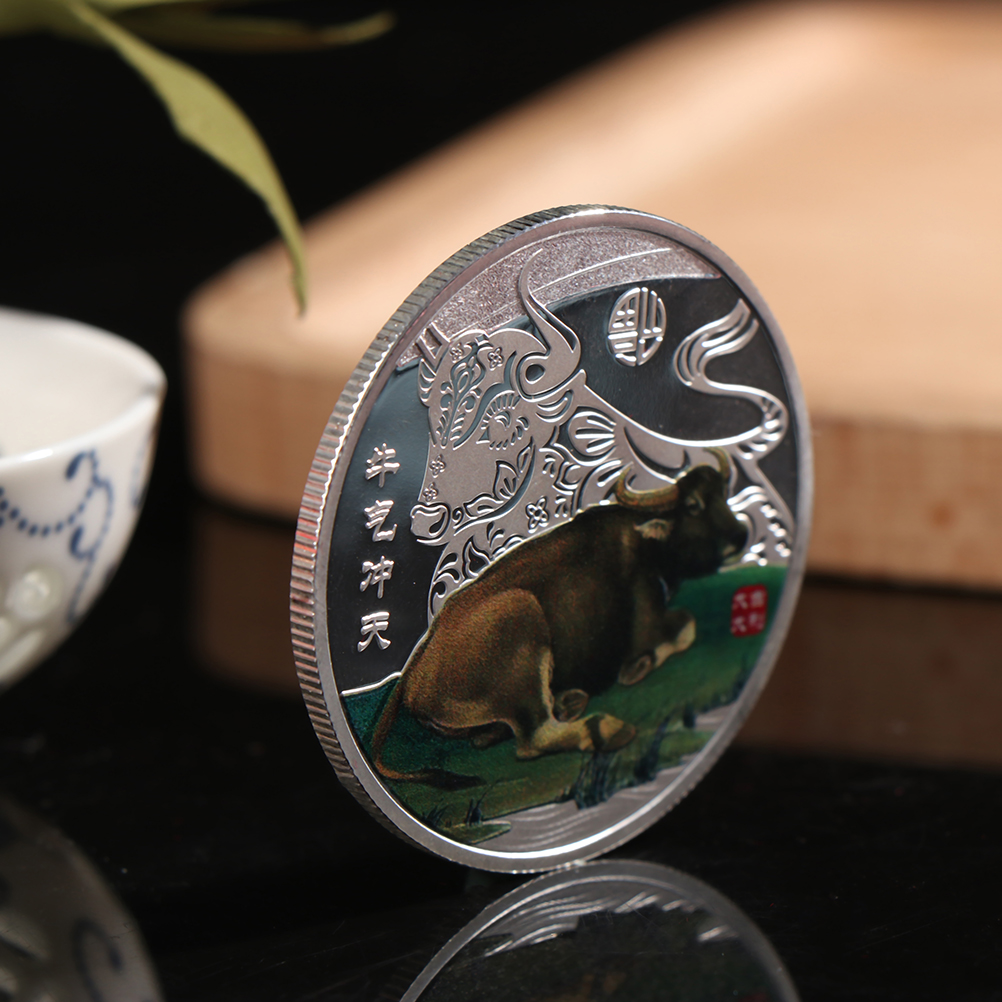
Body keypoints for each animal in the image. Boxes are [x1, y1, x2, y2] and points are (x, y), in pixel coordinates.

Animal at [370, 451, 748, 790]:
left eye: (723, 494)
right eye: (694, 505)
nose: (741, 536)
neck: (647, 541)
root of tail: (413, 674)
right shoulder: (649, 623)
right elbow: (686, 626)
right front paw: (637, 667)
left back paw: (568, 702)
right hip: (521, 619)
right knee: (535, 737)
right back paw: (604, 727)